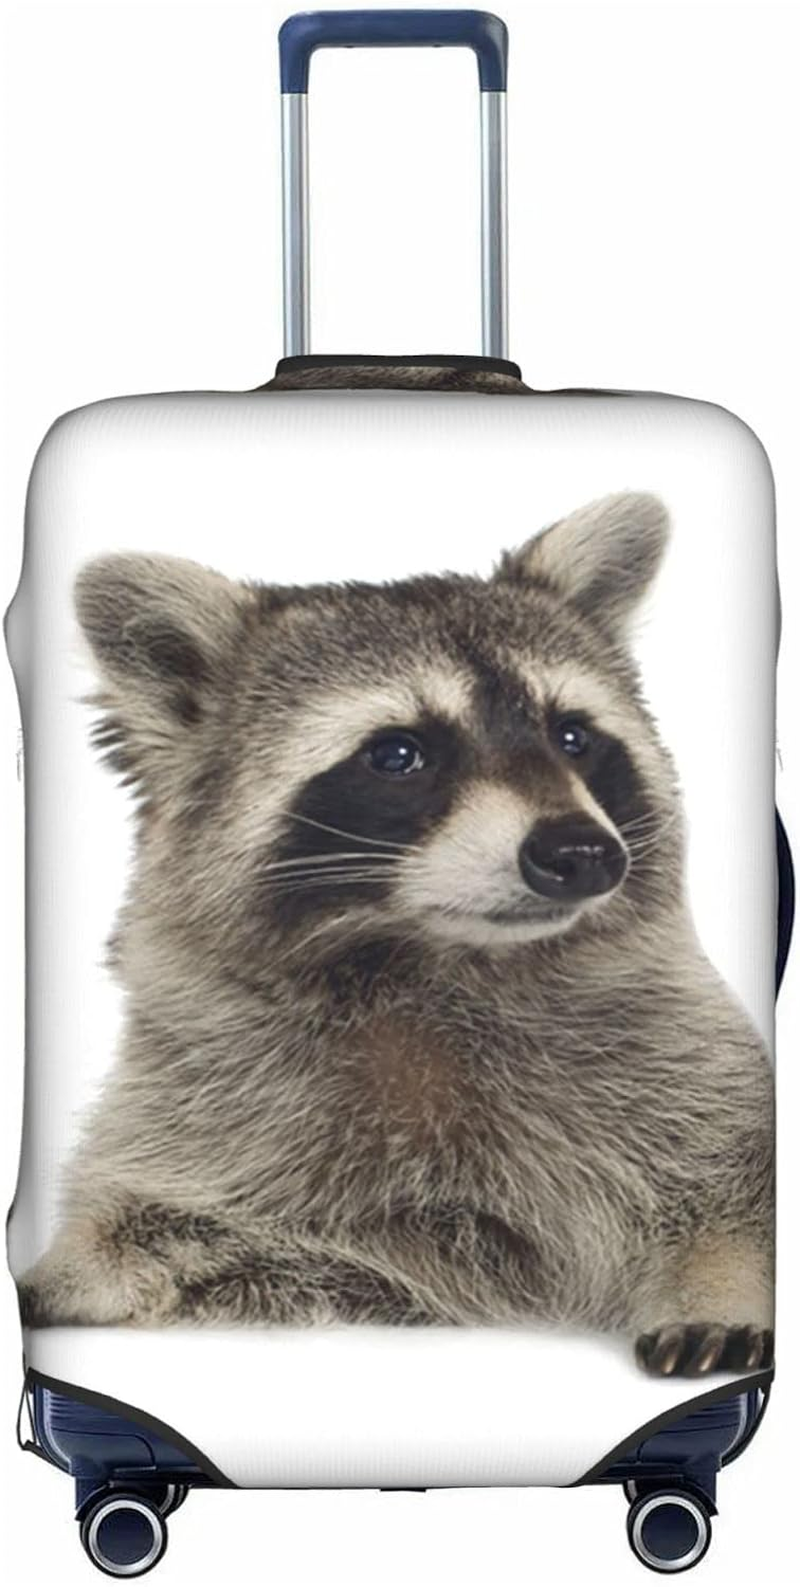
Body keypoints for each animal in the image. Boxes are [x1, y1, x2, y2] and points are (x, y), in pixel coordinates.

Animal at [19, 491, 774, 1378]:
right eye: (398, 754)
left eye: (572, 736)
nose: (583, 853)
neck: (435, 961)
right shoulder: (215, 1118)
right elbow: (152, 1219)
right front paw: (72, 1264)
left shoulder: (688, 1059)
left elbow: (737, 1181)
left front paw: (721, 1275)